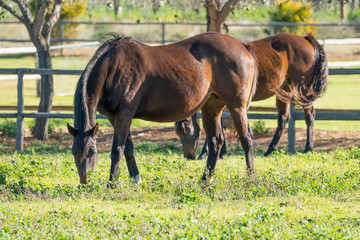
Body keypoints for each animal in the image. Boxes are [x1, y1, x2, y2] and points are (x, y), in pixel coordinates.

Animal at [67, 31, 258, 187]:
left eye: (92, 152)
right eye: (74, 152)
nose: (84, 182)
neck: (113, 67)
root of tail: (243, 46)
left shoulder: (124, 114)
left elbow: (117, 149)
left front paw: (111, 184)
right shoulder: (113, 116)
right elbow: (128, 147)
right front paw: (135, 179)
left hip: (237, 107)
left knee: (246, 138)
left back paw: (250, 178)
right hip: (211, 107)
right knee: (215, 141)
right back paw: (205, 180)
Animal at [177, 32, 330, 159]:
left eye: (185, 130)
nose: (188, 156)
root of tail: (306, 39)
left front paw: (206, 152)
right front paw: (221, 151)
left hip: (303, 89)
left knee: (309, 115)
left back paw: (308, 148)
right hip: (285, 89)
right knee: (283, 118)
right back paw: (270, 150)